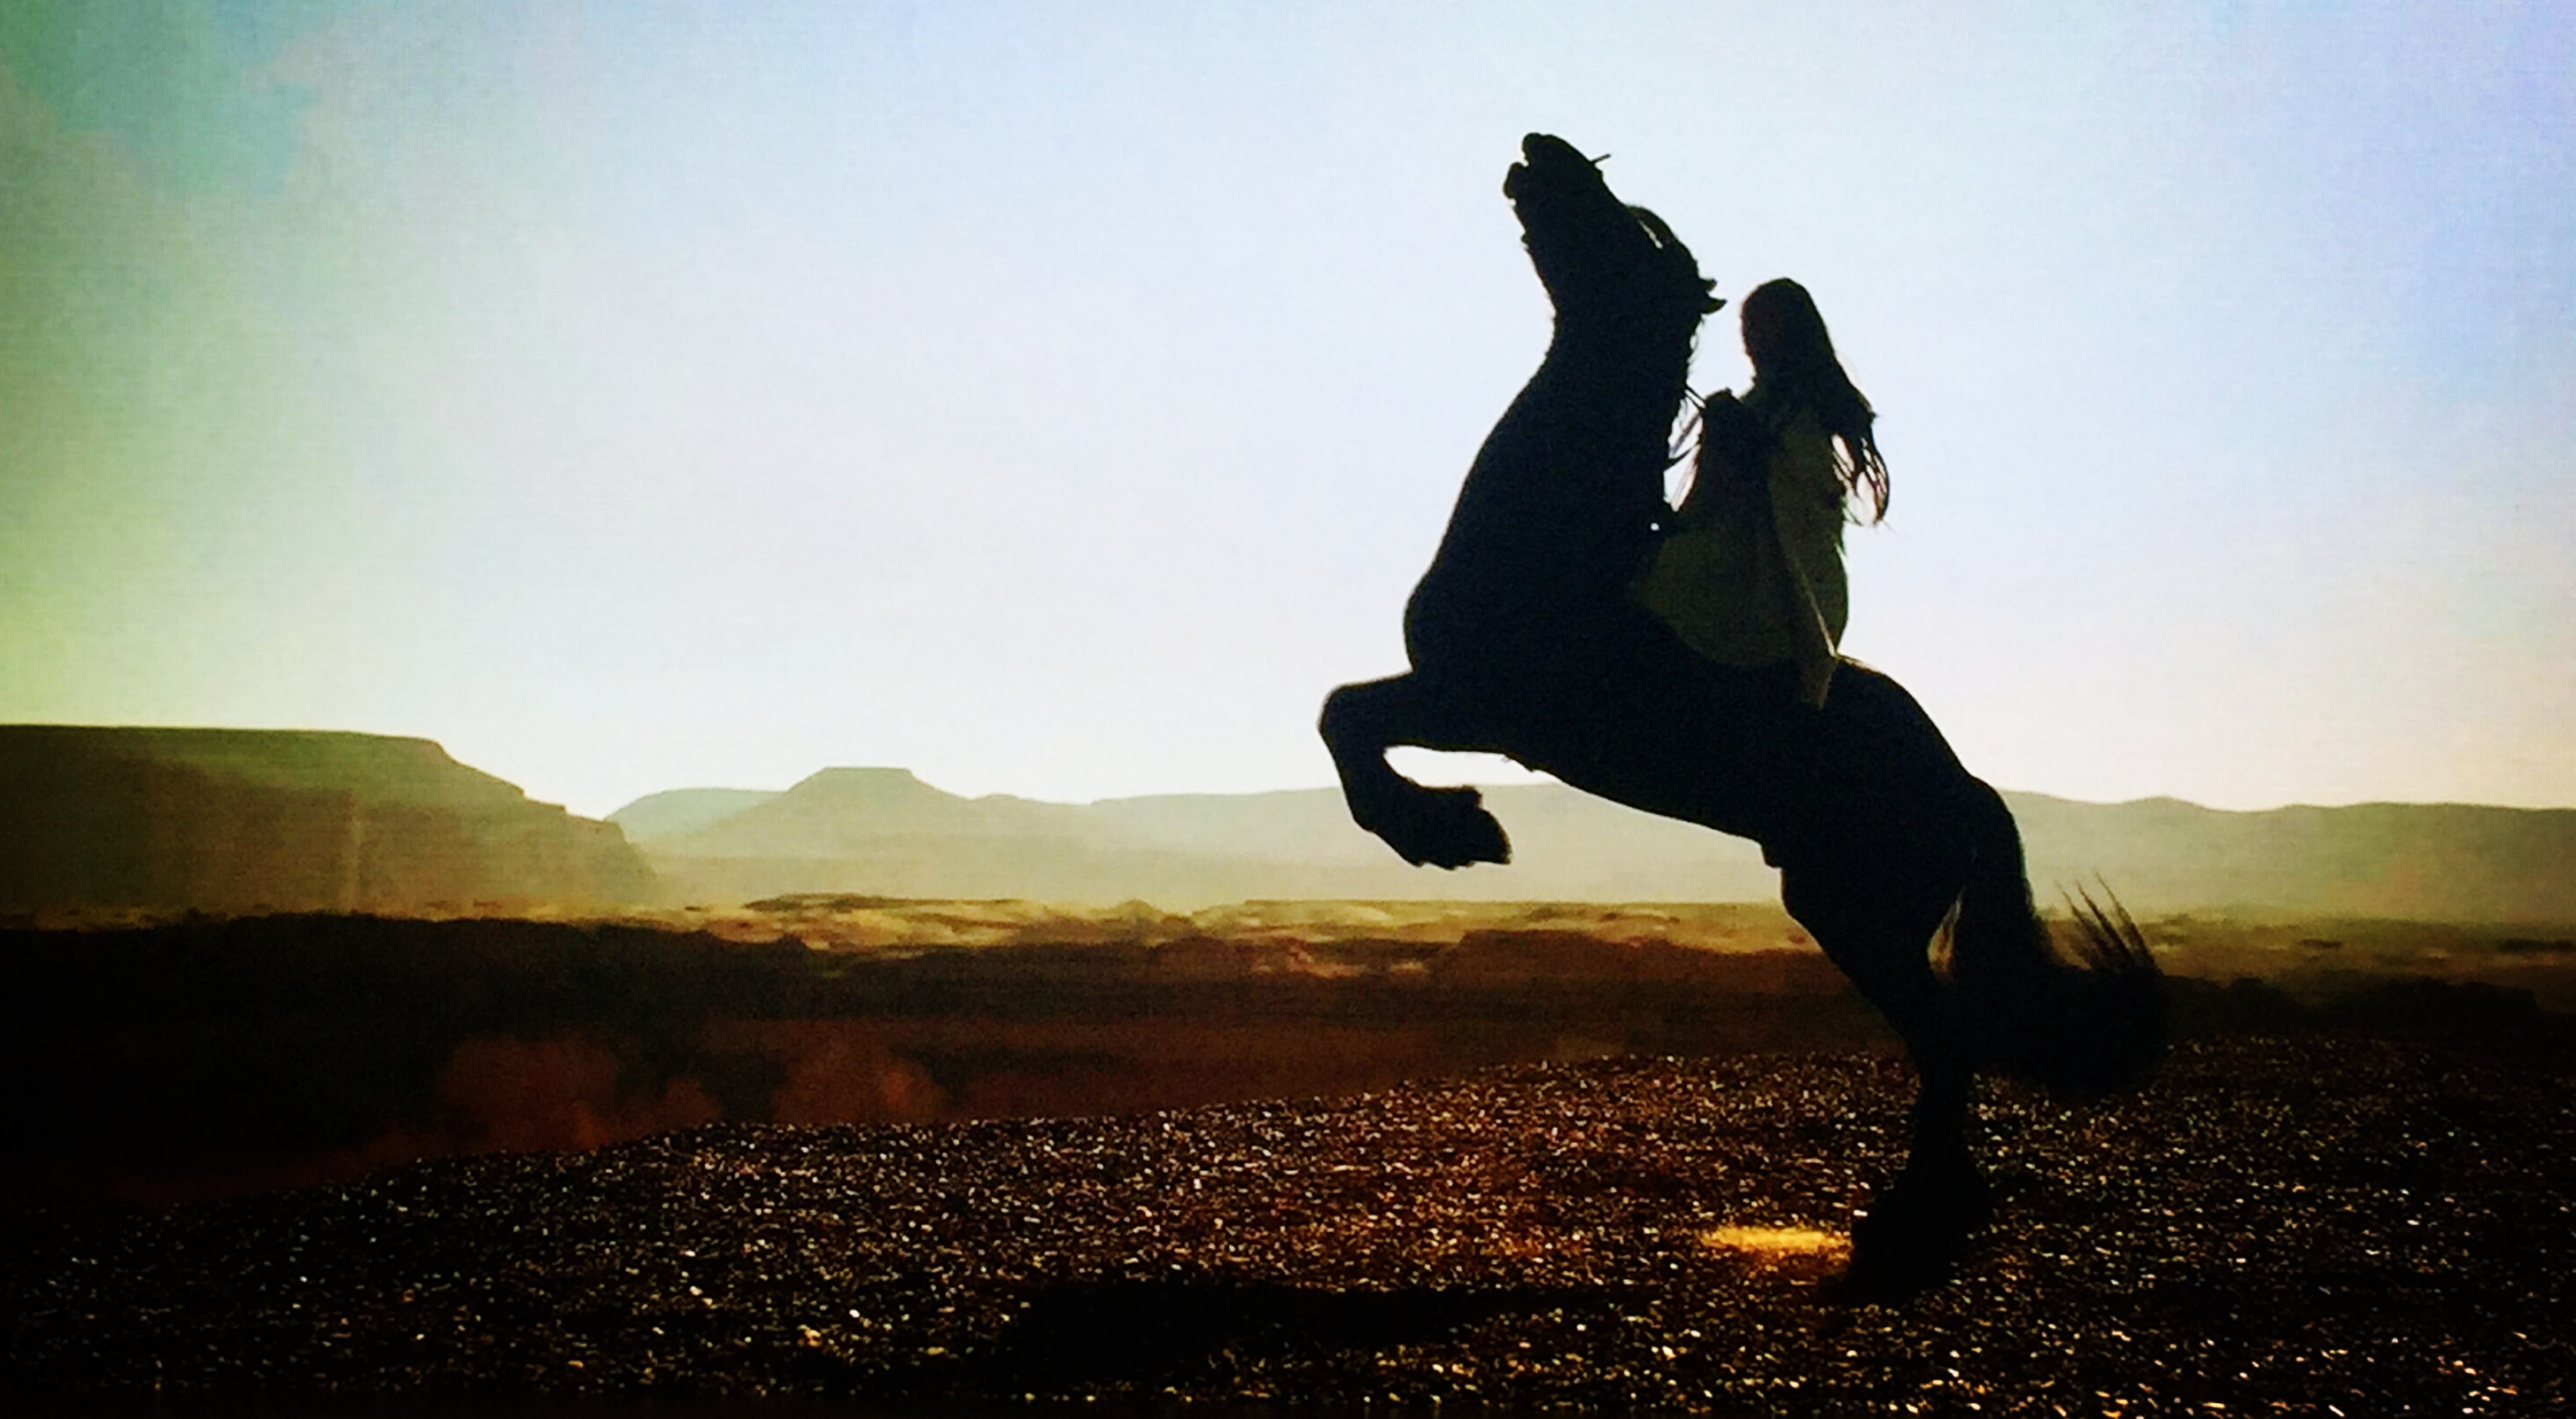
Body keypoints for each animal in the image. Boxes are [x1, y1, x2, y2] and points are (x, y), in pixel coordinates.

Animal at [1319, 136, 2163, 1298]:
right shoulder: (1465, 702)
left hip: (1853, 912)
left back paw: (1911, 1217)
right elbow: (1343, 716)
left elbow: (1342, 721)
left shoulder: (1480, 703)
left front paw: (1448, 834)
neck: (1558, 536)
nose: (1542, 148)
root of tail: (1967, 789)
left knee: (1945, 1039)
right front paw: (1450, 829)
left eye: (1629, 233)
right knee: (1944, 1040)